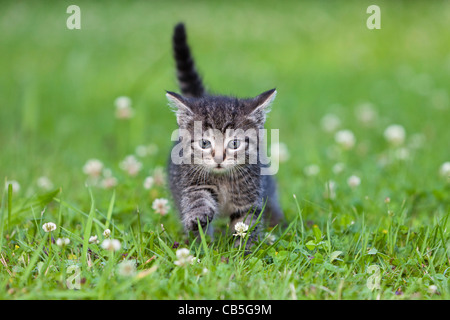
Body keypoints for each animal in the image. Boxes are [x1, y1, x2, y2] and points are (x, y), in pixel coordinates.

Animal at [167, 23, 284, 242]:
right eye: (204, 143)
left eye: (234, 144)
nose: (219, 159)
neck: (222, 181)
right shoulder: (191, 182)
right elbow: (197, 201)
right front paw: (199, 223)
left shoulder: (250, 194)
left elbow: (245, 223)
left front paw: (244, 249)